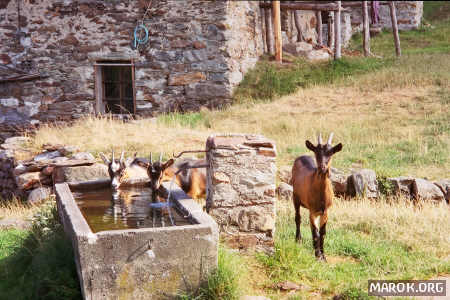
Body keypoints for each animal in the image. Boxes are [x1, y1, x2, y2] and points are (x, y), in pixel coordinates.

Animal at [290, 132, 342, 262]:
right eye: (316, 152)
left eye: (331, 152)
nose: (322, 168)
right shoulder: (312, 211)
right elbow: (315, 232)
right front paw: (317, 255)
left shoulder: (326, 211)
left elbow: (322, 232)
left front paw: (323, 255)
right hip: (295, 197)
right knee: (298, 218)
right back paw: (298, 239)